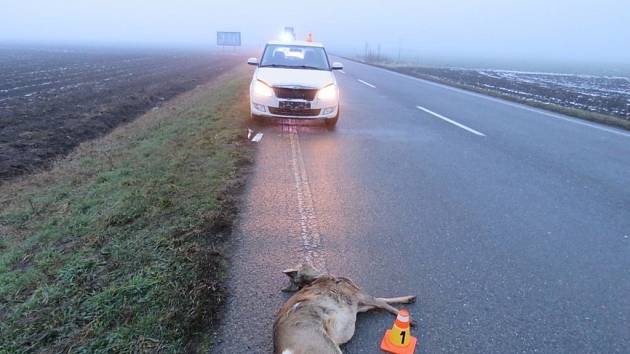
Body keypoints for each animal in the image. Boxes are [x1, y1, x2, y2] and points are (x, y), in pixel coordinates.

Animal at [274, 264, 418, 352]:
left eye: (302, 266)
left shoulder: (360, 304)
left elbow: (382, 300)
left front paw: (409, 298)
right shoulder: (358, 296)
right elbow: (383, 303)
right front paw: (410, 320)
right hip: (323, 345)